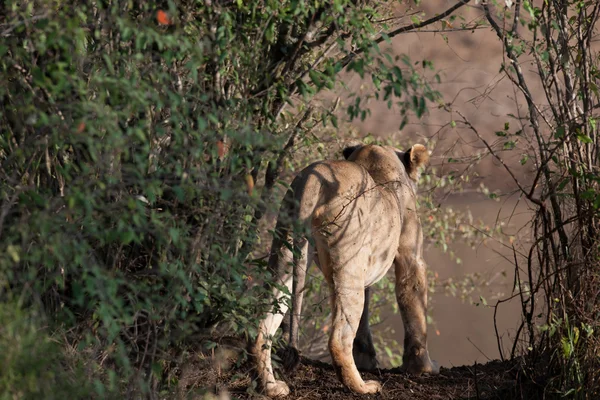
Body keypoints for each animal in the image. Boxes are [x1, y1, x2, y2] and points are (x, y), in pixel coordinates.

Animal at [251, 144, 438, 396]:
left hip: (285, 253)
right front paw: (422, 367)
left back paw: (272, 387)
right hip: (347, 263)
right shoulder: (411, 256)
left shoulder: (365, 268)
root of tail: (311, 177)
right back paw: (363, 387)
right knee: (338, 339)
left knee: (262, 326)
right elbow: (415, 309)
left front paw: (366, 359)